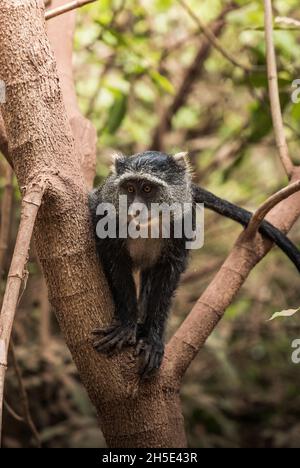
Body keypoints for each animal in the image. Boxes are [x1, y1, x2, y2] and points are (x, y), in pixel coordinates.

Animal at [89, 150, 300, 376]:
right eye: (129, 188)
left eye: (147, 188)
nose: (135, 211)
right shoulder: (105, 216)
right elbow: (116, 264)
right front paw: (127, 326)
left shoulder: (182, 226)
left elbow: (167, 277)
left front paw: (152, 340)